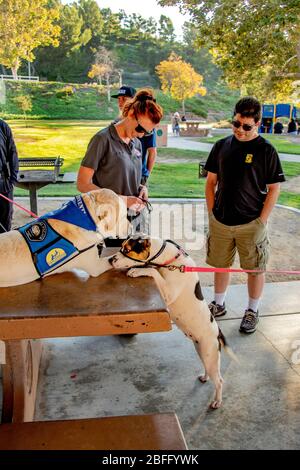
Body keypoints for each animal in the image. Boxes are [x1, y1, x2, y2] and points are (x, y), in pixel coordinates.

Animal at [110, 235, 227, 408]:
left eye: (127, 249)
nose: (110, 259)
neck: (170, 260)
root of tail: (217, 332)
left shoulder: (168, 293)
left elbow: (152, 271)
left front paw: (137, 270)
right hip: (203, 352)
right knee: (208, 370)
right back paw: (205, 377)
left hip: (210, 353)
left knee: (219, 381)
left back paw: (217, 401)